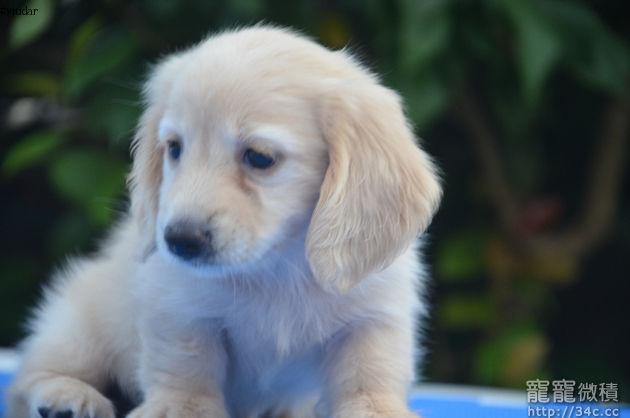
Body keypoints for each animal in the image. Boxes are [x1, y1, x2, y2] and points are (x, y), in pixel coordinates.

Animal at [7, 26, 442, 418]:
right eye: (174, 148)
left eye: (260, 157)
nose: (179, 240)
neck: (277, 265)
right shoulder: (181, 308)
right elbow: (188, 365)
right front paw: (179, 409)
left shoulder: (372, 318)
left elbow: (369, 375)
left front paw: (378, 409)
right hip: (79, 325)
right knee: (30, 378)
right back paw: (67, 395)